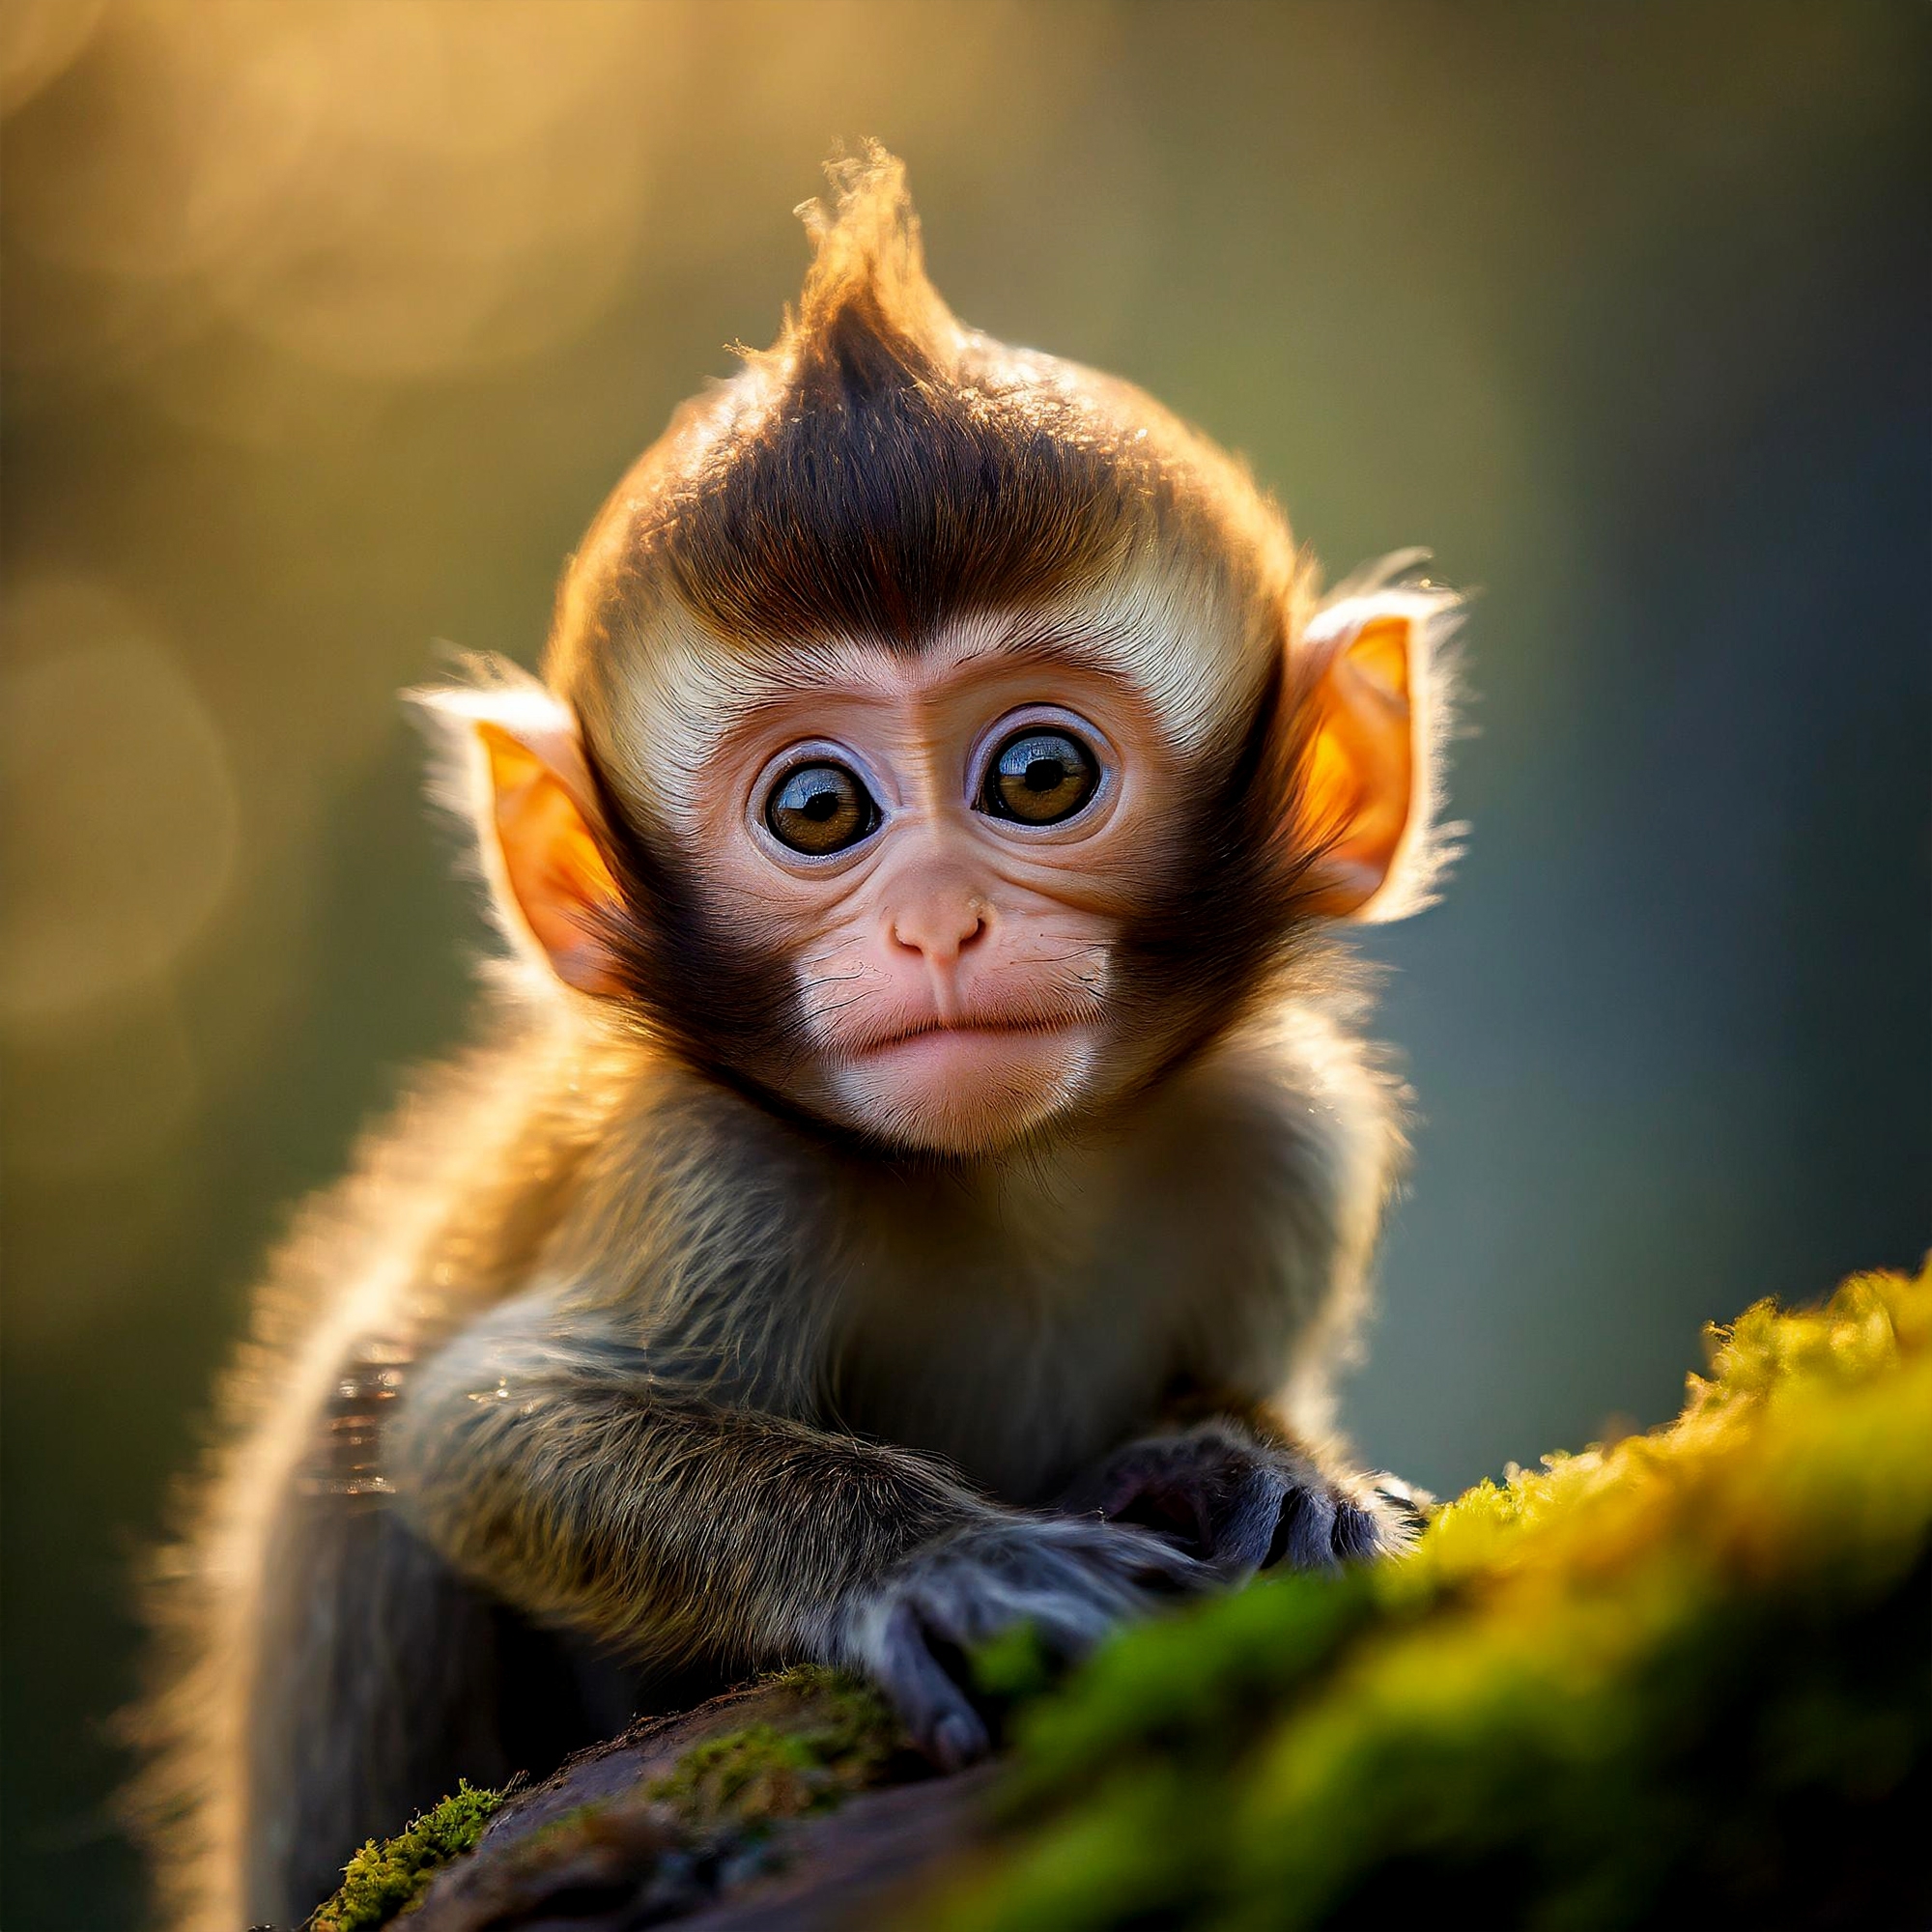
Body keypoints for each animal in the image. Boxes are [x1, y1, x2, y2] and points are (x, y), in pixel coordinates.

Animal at [132, 145, 1459, 1932]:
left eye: (1040, 775)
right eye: (820, 810)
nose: (937, 924)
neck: (1017, 1185)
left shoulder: (1293, 1134)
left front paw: (1261, 1461)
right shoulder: (716, 1169)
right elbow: (480, 1426)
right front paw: (935, 1560)